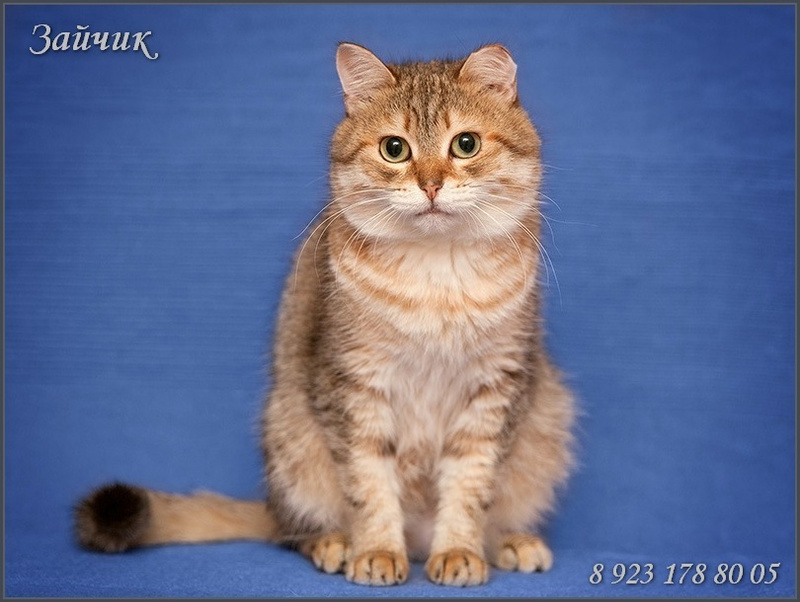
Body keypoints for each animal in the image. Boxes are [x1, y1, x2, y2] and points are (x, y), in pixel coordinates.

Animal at [74, 42, 576, 587]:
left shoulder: (495, 387)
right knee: (295, 531)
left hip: (547, 421)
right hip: (291, 435)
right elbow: (370, 484)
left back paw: (510, 543)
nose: (431, 185)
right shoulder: (353, 383)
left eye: (465, 144)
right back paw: (335, 544)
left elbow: (469, 486)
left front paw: (459, 551)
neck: (436, 280)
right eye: (395, 149)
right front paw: (377, 551)